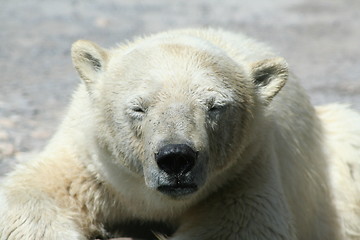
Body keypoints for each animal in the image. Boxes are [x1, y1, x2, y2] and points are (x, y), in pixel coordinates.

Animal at [0, 28, 360, 240]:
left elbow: (238, 227)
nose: (176, 158)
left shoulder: (245, 173)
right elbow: (29, 199)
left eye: (215, 106)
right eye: (139, 107)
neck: (151, 200)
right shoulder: (89, 163)